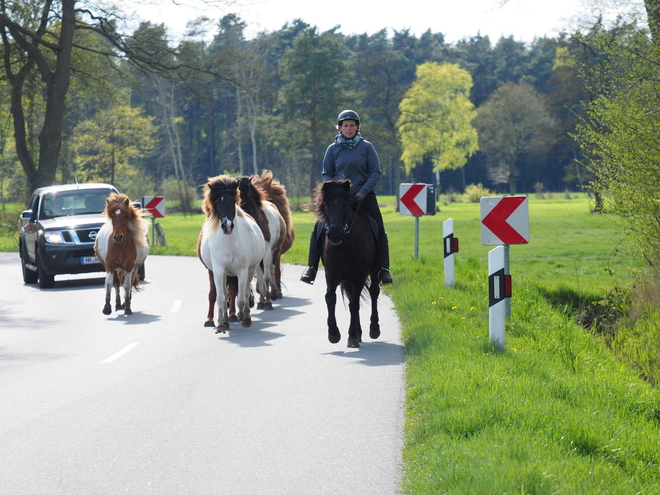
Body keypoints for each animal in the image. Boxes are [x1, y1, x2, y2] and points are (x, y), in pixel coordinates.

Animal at [199, 174, 266, 334]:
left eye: (233, 201)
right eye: (217, 202)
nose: (227, 226)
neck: (229, 242)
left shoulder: (242, 271)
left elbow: (241, 297)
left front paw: (244, 318)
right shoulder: (218, 271)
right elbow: (221, 297)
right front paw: (221, 324)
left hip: (250, 270)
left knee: (245, 291)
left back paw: (244, 315)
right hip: (223, 274)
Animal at [314, 180, 382, 346]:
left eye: (345, 206)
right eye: (326, 205)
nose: (335, 234)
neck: (345, 246)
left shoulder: (359, 275)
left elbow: (354, 305)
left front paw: (351, 336)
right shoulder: (331, 274)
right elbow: (331, 298)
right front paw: (333, 334)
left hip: (374, 271)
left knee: (373, 292)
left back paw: (373, 329)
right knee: (352, 297)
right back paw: (359, 332)